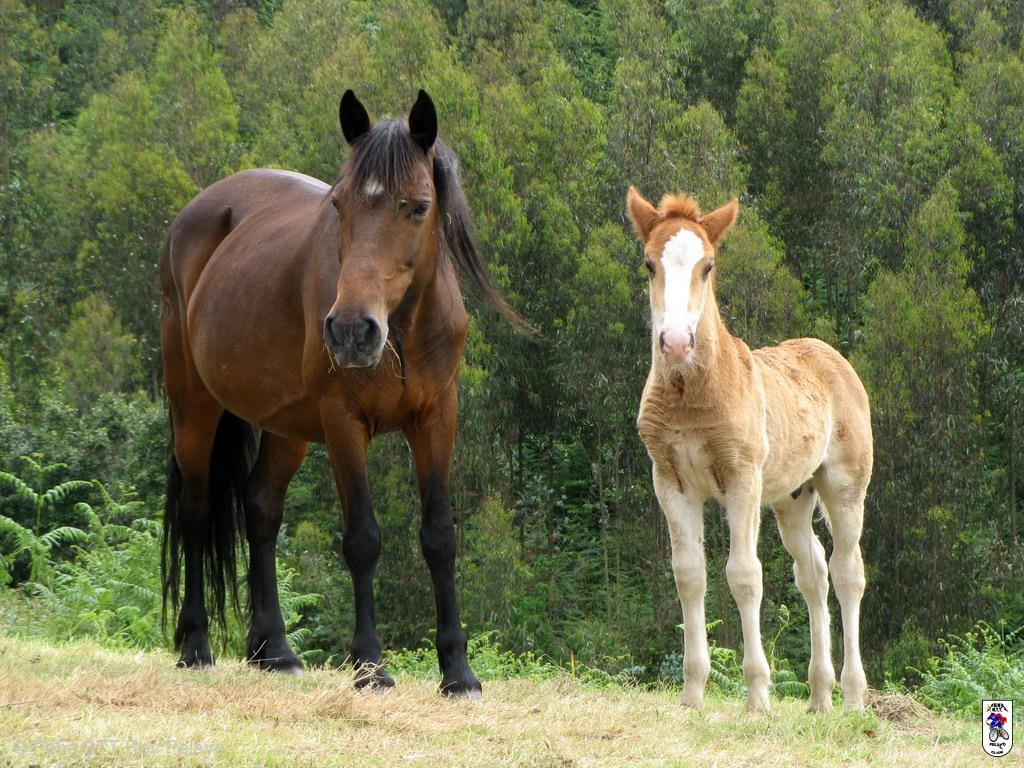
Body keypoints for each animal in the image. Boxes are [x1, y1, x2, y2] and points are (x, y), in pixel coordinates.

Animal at [160, 89, 524, 698]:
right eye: (339, 206)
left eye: (418, 207)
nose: (352, 330)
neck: (403, 332)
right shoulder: (343, 422)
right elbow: (362, 540)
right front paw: (370, 666)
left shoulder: (437, 418)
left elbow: (439, 537)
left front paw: (457, 672)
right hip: (193, 404)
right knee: (197, 508)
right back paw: (195, 646)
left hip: (285, 427)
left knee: (261, 508)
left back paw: (274, 651)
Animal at [627, 187, 872, 712]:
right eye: (648, 264)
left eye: (708, 266)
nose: (674, 343)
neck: (691, 396)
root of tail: (834, 357)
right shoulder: (670, 481)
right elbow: (689, 574)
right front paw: (692, 694)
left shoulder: (742, 478)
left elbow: (744, 574)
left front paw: (758, 694)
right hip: (791, 497)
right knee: (812, 572)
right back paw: (818, 697)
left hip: (844, 486)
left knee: (847, 572)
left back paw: (851, 695)